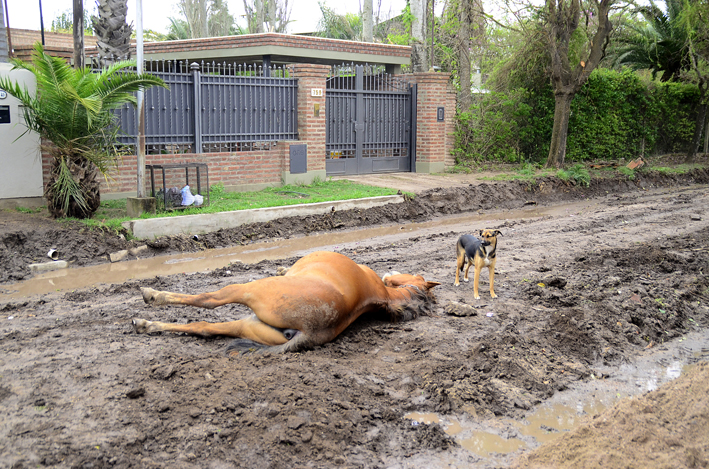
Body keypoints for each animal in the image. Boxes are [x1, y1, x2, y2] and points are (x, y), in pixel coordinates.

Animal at [130, 250, 434, 352]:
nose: (391, 272)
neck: (382, 294)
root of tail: (311, 331)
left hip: (245, 290)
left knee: (208, 301)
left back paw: (152, 297)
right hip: (248, 326)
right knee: (203, 327)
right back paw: (146, 325)